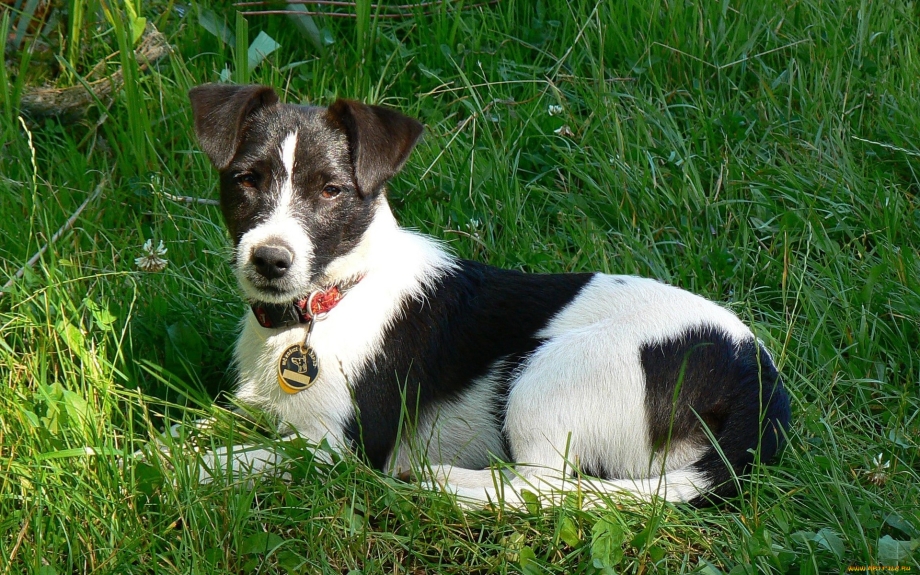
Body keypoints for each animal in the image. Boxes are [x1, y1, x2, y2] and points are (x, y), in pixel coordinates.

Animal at [187, 83, 792, 506]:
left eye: (331, 190)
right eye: (246, 180)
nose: (270, 259)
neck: (332, 299)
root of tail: (758, 385)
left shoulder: (331, 449)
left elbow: (230, 461)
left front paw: (165, 474)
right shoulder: (251, 409)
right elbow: (199, 433)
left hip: (550, 371)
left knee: (541, 489)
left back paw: (446, 483)